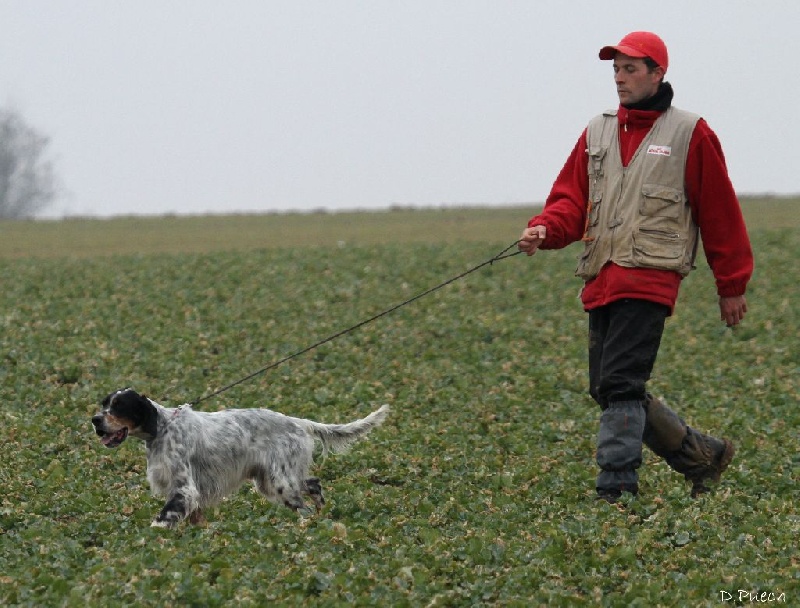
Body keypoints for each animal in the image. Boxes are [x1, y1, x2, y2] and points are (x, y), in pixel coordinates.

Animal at [92, 390, 390, 528]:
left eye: (119, 406)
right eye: (104, 404)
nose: (94, 420)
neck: (162, 428)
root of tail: (297, 421)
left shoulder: (185, 489)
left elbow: (163, 519)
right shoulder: (189, 491)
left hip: (279, 482)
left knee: (303, 504)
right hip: (272, 479)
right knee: (313, 483)